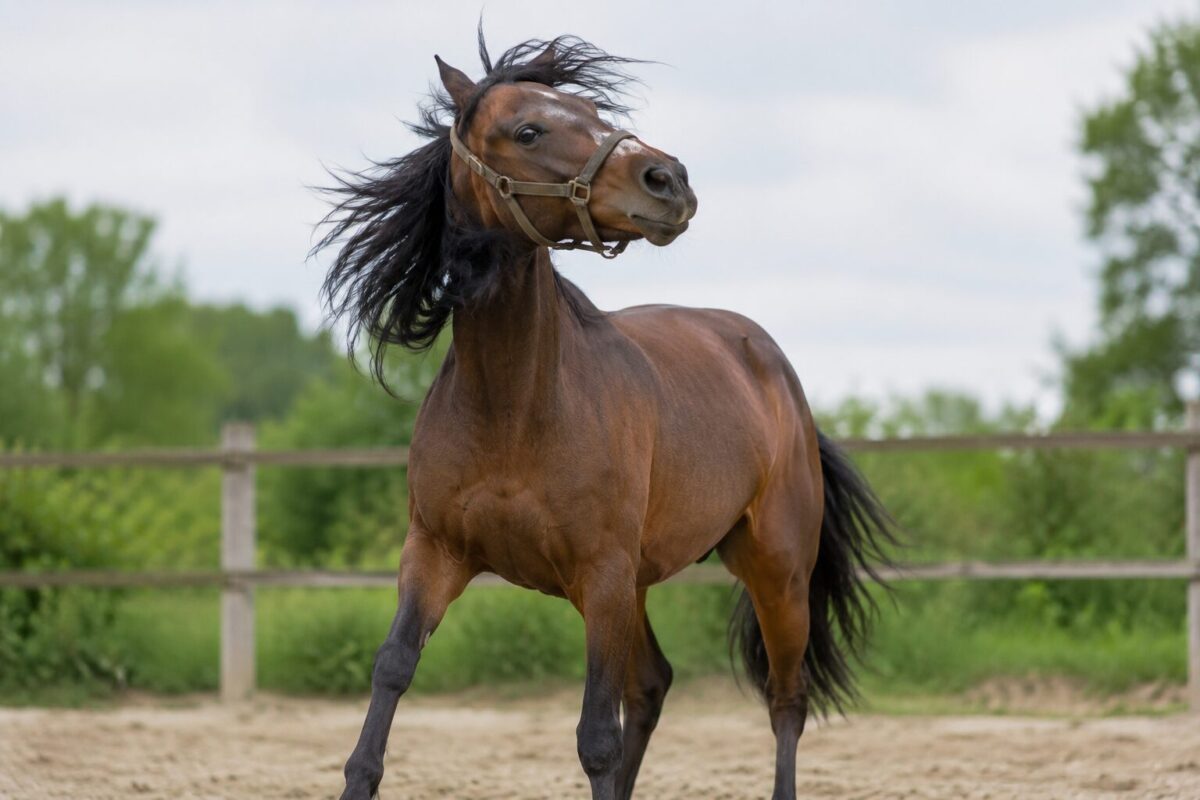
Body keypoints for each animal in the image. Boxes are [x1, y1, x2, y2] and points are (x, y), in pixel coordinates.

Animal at [318, 32, 895, 800]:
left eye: (592, 110)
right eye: (528, 130)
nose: (669, 180)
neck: (513, 411)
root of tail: (776, 371)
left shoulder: (602, 575)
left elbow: (596, 735)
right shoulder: (436, 554)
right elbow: (389, 676)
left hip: (774, 570)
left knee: (785, 700)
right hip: (640, 584)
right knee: (652, 685)